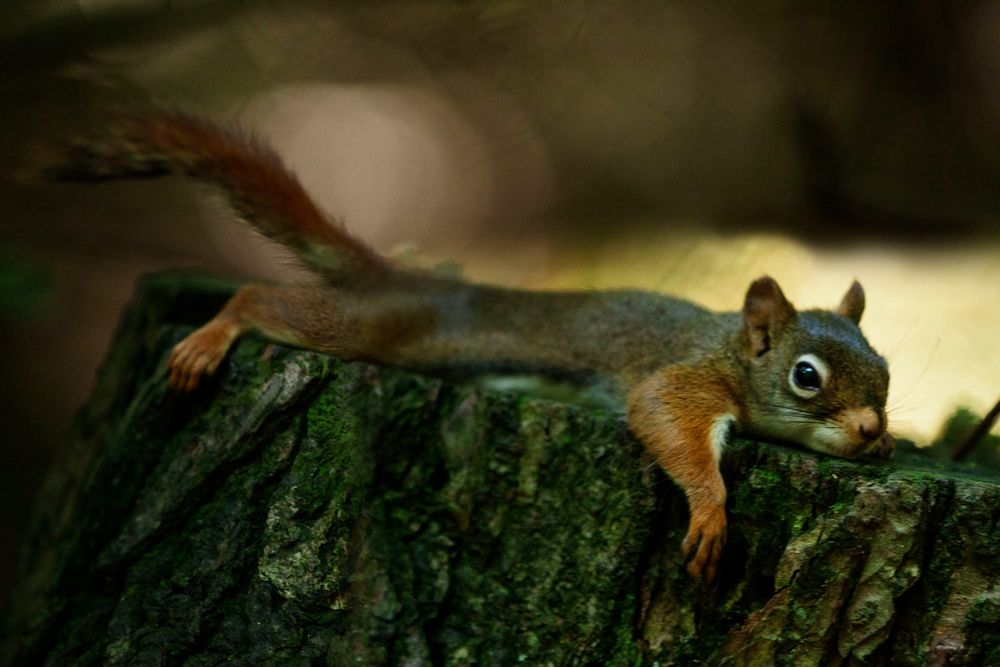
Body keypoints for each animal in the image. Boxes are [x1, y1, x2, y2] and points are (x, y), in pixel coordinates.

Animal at [30, 111, 894, 582]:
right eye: (807, 376)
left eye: (884, 372)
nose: (871, 431)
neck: (728, 344)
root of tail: (402, 279)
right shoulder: (682, 377)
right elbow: (665, 418)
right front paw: (712, 509)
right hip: (384, 329)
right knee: (262, 301)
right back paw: (212, 334)